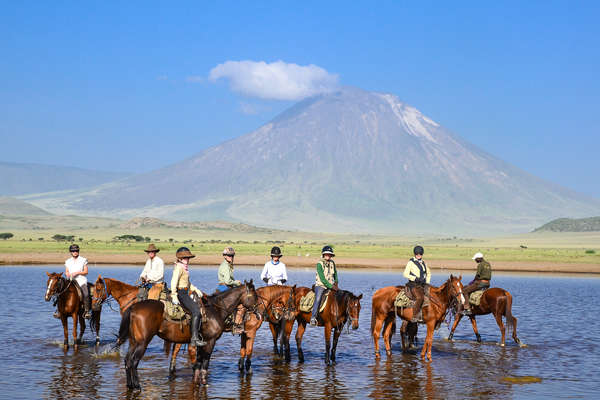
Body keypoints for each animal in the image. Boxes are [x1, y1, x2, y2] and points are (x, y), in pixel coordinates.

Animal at [117, 280, 258, 390]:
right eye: (255, 296)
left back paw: (130, 385)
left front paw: (197, 382)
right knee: (134, 361)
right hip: (143, 342)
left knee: (127, 360)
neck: (215, 310)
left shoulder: (201, 343)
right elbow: (205, 363)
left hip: (133, 341)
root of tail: (134, 307)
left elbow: (198, 363)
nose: (257, 311)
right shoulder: (210, 341)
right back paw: (137, 386)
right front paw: (204, 383)